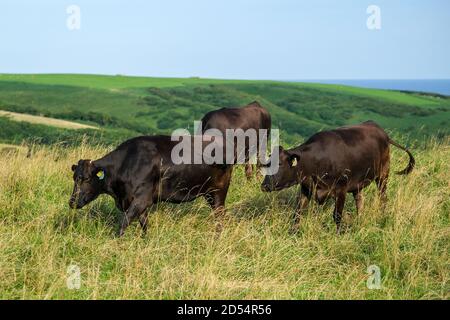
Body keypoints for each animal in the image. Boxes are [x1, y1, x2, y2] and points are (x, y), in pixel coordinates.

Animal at [69, 134, 236, 235]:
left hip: (218, 192)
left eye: (86, 179)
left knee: (221, 217)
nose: (72, 202)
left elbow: (123, 223)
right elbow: (144, 224)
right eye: (74, 177)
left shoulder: (142, 199)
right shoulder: (138, 203)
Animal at [260, 121, 414, 234]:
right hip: (358, 183)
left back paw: (382, 215)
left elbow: (337, 215)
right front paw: (293, 233)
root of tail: (380, 130)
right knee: (360, 200)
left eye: (280, 164)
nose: (264, 186)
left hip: (383, 175)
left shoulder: (341, 189)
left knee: (383, 197)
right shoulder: (305, 188)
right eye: (267, 164)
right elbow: (297, 213)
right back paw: (359, 220)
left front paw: (339, 234)